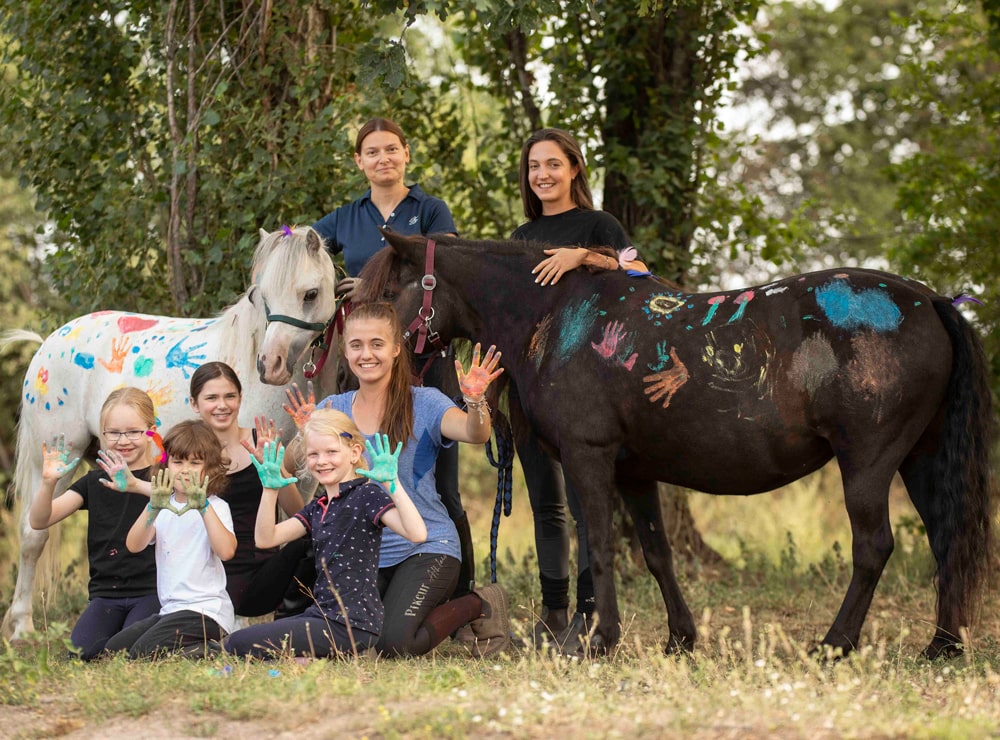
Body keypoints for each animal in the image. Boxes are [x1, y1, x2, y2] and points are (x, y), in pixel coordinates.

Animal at [1, 225, 340, 636]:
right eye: (261, 296)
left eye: (311, 294)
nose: (270, 365)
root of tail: (47, 343)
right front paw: (238, 621)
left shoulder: (300, 479)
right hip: (54, 456)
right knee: (33, 534)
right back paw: (22, 627)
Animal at [360, 233, 992, 660]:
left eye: (391, 288)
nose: (364, 353)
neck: (555, 318)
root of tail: (931, 301)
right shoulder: (635, 471)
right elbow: (656, 552)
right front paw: (679, 638)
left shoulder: (589, 458)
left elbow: (599, 549)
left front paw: (598, 639)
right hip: (920, 458)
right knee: (946, 541)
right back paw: (941, 645)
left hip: (869, 462)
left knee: (873, 547)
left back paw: (835, 644)